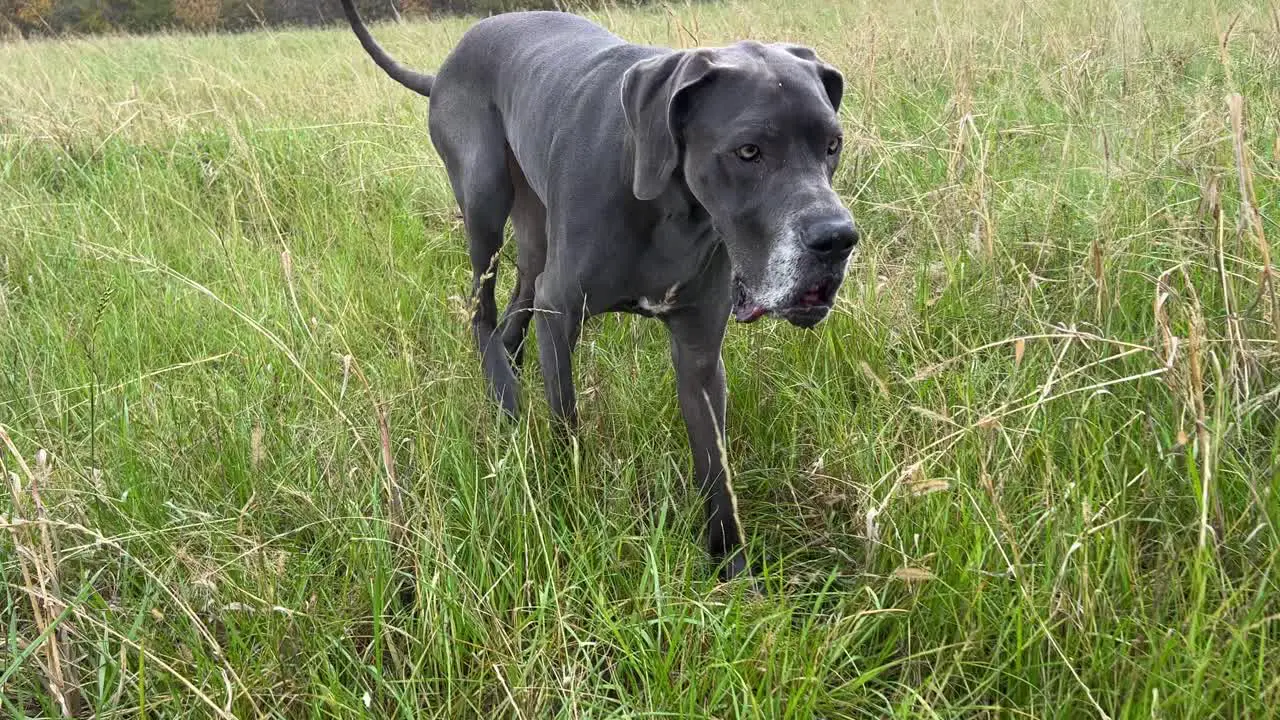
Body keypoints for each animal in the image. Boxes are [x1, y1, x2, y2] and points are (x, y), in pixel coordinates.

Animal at [340, 1, 860, 576]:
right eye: (748, 151)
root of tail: (448, 62)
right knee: (481, 306)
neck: (673, 209)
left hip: (534, 231)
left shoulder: (699, 353)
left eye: (832, 146)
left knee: (518, 300)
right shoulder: (561, 310)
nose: (838, 240)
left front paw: (734, 572)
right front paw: (567, 501)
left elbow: (716, 468)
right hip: (483, 197)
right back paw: (504, 394)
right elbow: (566, 418)